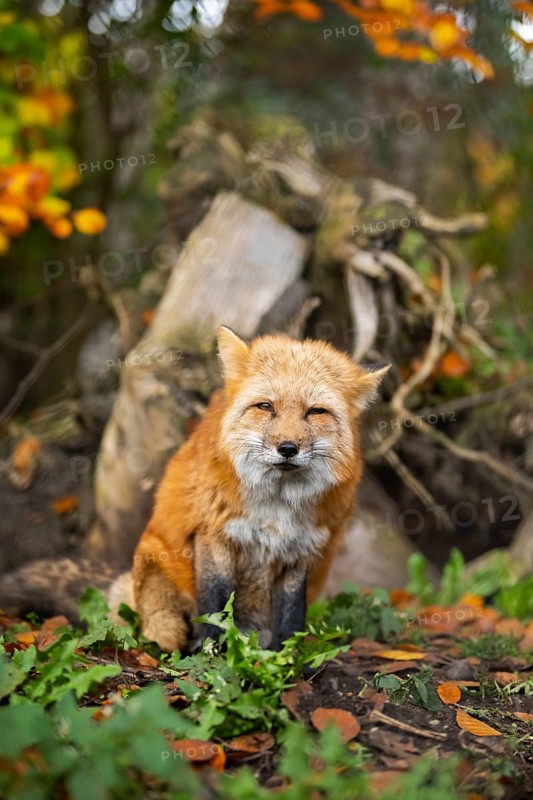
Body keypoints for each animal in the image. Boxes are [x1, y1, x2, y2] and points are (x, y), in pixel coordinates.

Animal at [0, 327, 388, 651]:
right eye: (265, 406)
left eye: (316, 412)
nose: (288, 448)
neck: (276, 509)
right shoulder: (214, 538)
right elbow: (214, 608)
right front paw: (210, 654)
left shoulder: (300, 553)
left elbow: (291, 618)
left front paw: (287, 661)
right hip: (161, 596)